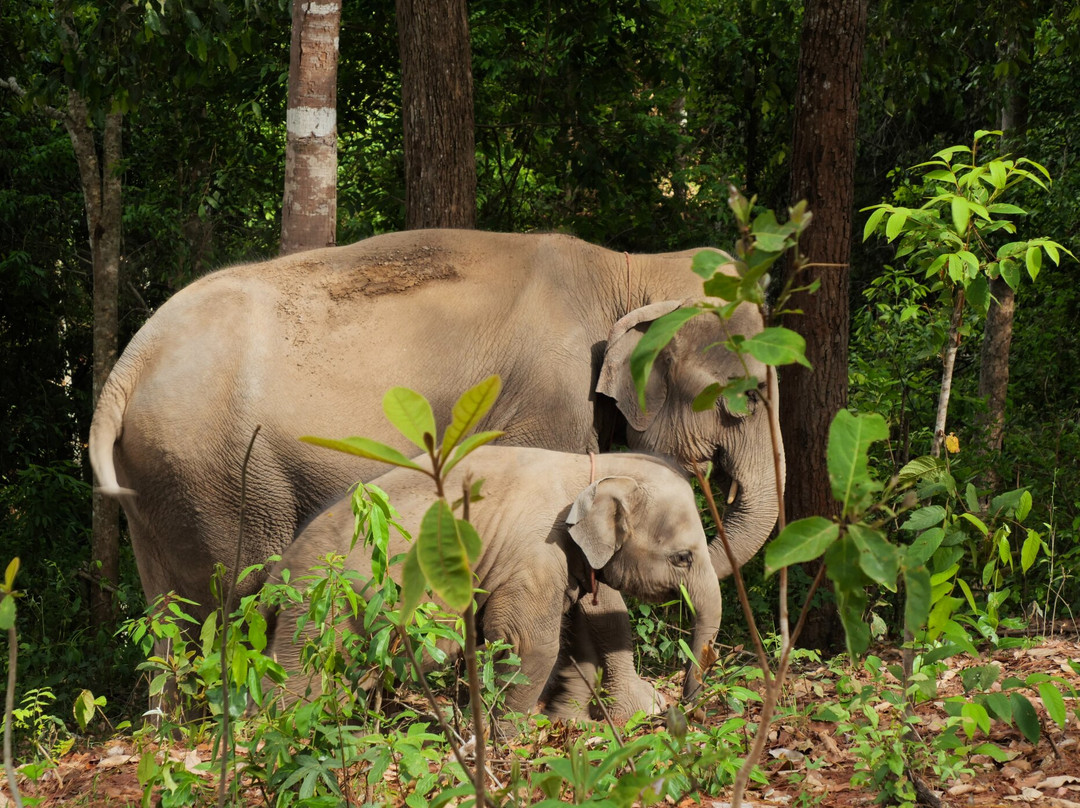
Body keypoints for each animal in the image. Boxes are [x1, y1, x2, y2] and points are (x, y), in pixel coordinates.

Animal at [265, 446, 723, 722]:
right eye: (683, 557)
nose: (690, 706)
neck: (587, 468)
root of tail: (276, 572)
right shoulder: (535, 552)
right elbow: (530, 643)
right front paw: (503, 744)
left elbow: (579, 628)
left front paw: (565, 724)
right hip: (318, 611)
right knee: (302, 685)